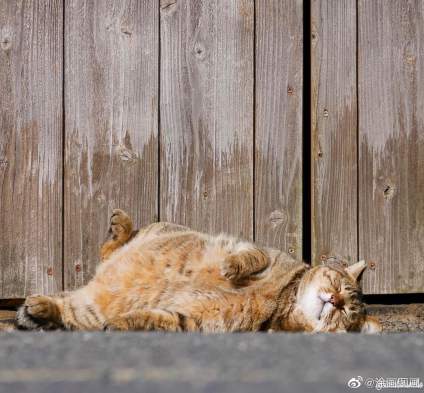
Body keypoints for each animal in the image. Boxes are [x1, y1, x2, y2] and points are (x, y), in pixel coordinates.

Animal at [16, 208, 380, 334]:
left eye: (345, 313)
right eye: (337, 284)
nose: (333, 300)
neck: (282, 302)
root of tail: (91, 285)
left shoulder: (196, 320)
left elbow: (158, 319)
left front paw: (123, 323)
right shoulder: (262, 250)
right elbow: (252, 256)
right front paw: (231, 267)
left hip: (87, 310)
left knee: (69, 310)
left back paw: (41, 308)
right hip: (157, 230)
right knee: (110, 250)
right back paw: (120, 226)